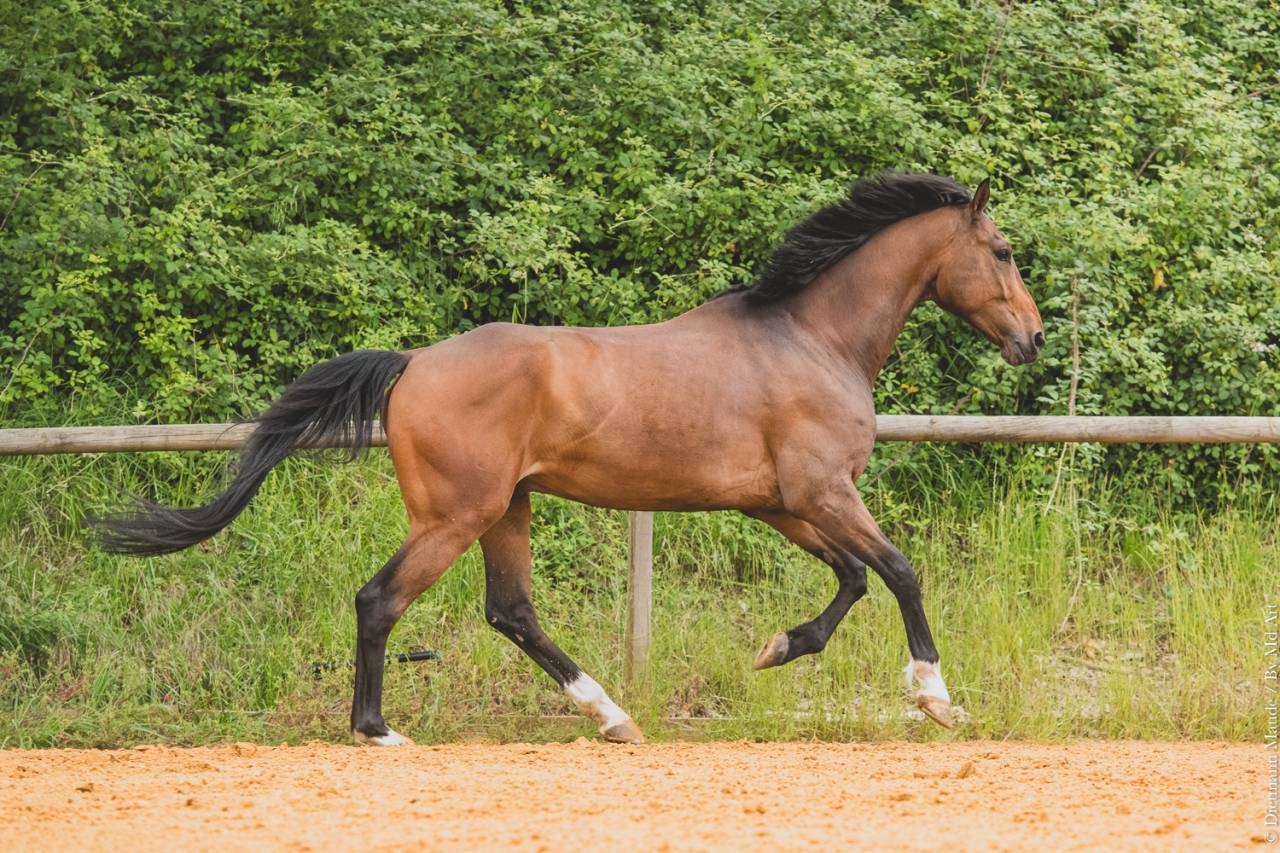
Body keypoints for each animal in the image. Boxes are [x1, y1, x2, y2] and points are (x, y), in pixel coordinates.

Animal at [92, 172, 1044, 745]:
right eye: (1001, 251)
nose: (1032, 339)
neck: (810, 338)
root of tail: (414, 363)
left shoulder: (781, 501)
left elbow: (852, 578)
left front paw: (779, 647)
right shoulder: (822, 491)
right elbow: (899, 569)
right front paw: (935, 695)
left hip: (507, 507)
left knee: (511, 611)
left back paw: (611, 714)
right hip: (457, 513)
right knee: (381, 599)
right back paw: (379, 729)